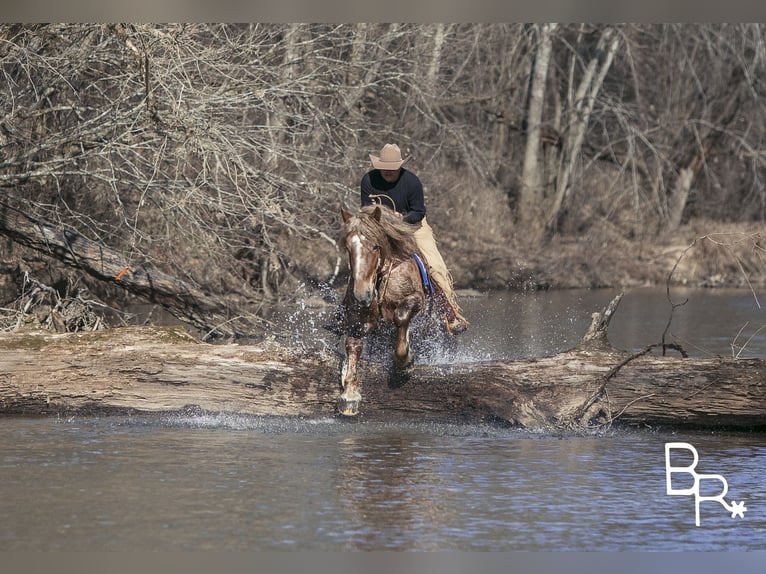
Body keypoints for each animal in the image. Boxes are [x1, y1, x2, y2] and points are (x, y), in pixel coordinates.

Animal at [340, 205, 436, 416]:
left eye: (375, 246)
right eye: (348, 248)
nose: (362, 294)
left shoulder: (416, 299)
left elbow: (401, 318)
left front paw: (405, 361)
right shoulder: (357, 317)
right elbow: (353, 344)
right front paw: (350, 393)